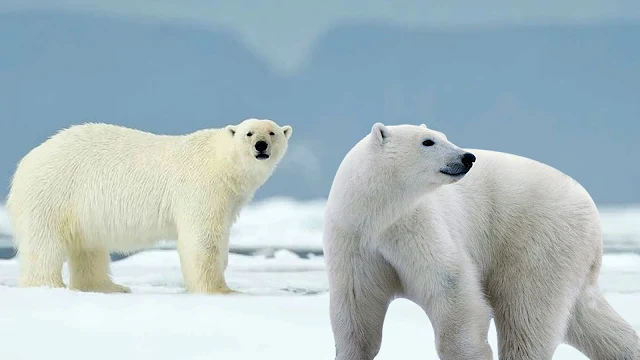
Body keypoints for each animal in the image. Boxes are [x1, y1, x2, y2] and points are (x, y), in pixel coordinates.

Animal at [6, 119, 292, 294]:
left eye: (272, 132)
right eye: (249, 133)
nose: (261, 146)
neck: (220, 162)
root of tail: (26, 161)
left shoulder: (229, 199)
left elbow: (220, 237)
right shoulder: (202, 187)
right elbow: (202, 239)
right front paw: (221, 290)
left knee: (88, 247)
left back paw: (109, 287)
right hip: (53, 193)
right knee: (44, 245)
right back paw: (48, 286)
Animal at [324, 124, 640, 360]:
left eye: (443, 135)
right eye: (428, 141)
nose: (468, 157)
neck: (378, 214)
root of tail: (593, 216)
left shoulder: (419, 226)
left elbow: (451, 285)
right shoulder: (354, 239)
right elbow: (357, 304)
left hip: (538, 241)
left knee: (527, 314)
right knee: (589, 319)